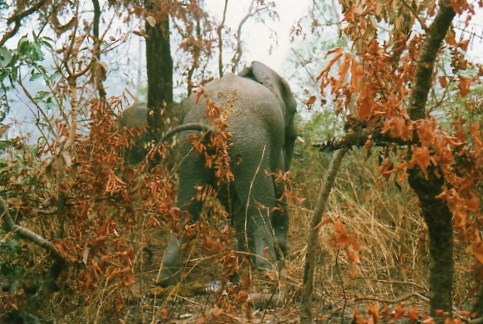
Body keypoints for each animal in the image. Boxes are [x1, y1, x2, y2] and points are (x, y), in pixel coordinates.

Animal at [159, 60, 296, 286]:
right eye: (294, 110)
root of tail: (213, 123)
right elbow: (278, 183)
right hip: (250, 145)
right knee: (260, 206)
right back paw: (268, 271)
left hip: (190, 146)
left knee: (186, 207)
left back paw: (165, 279)